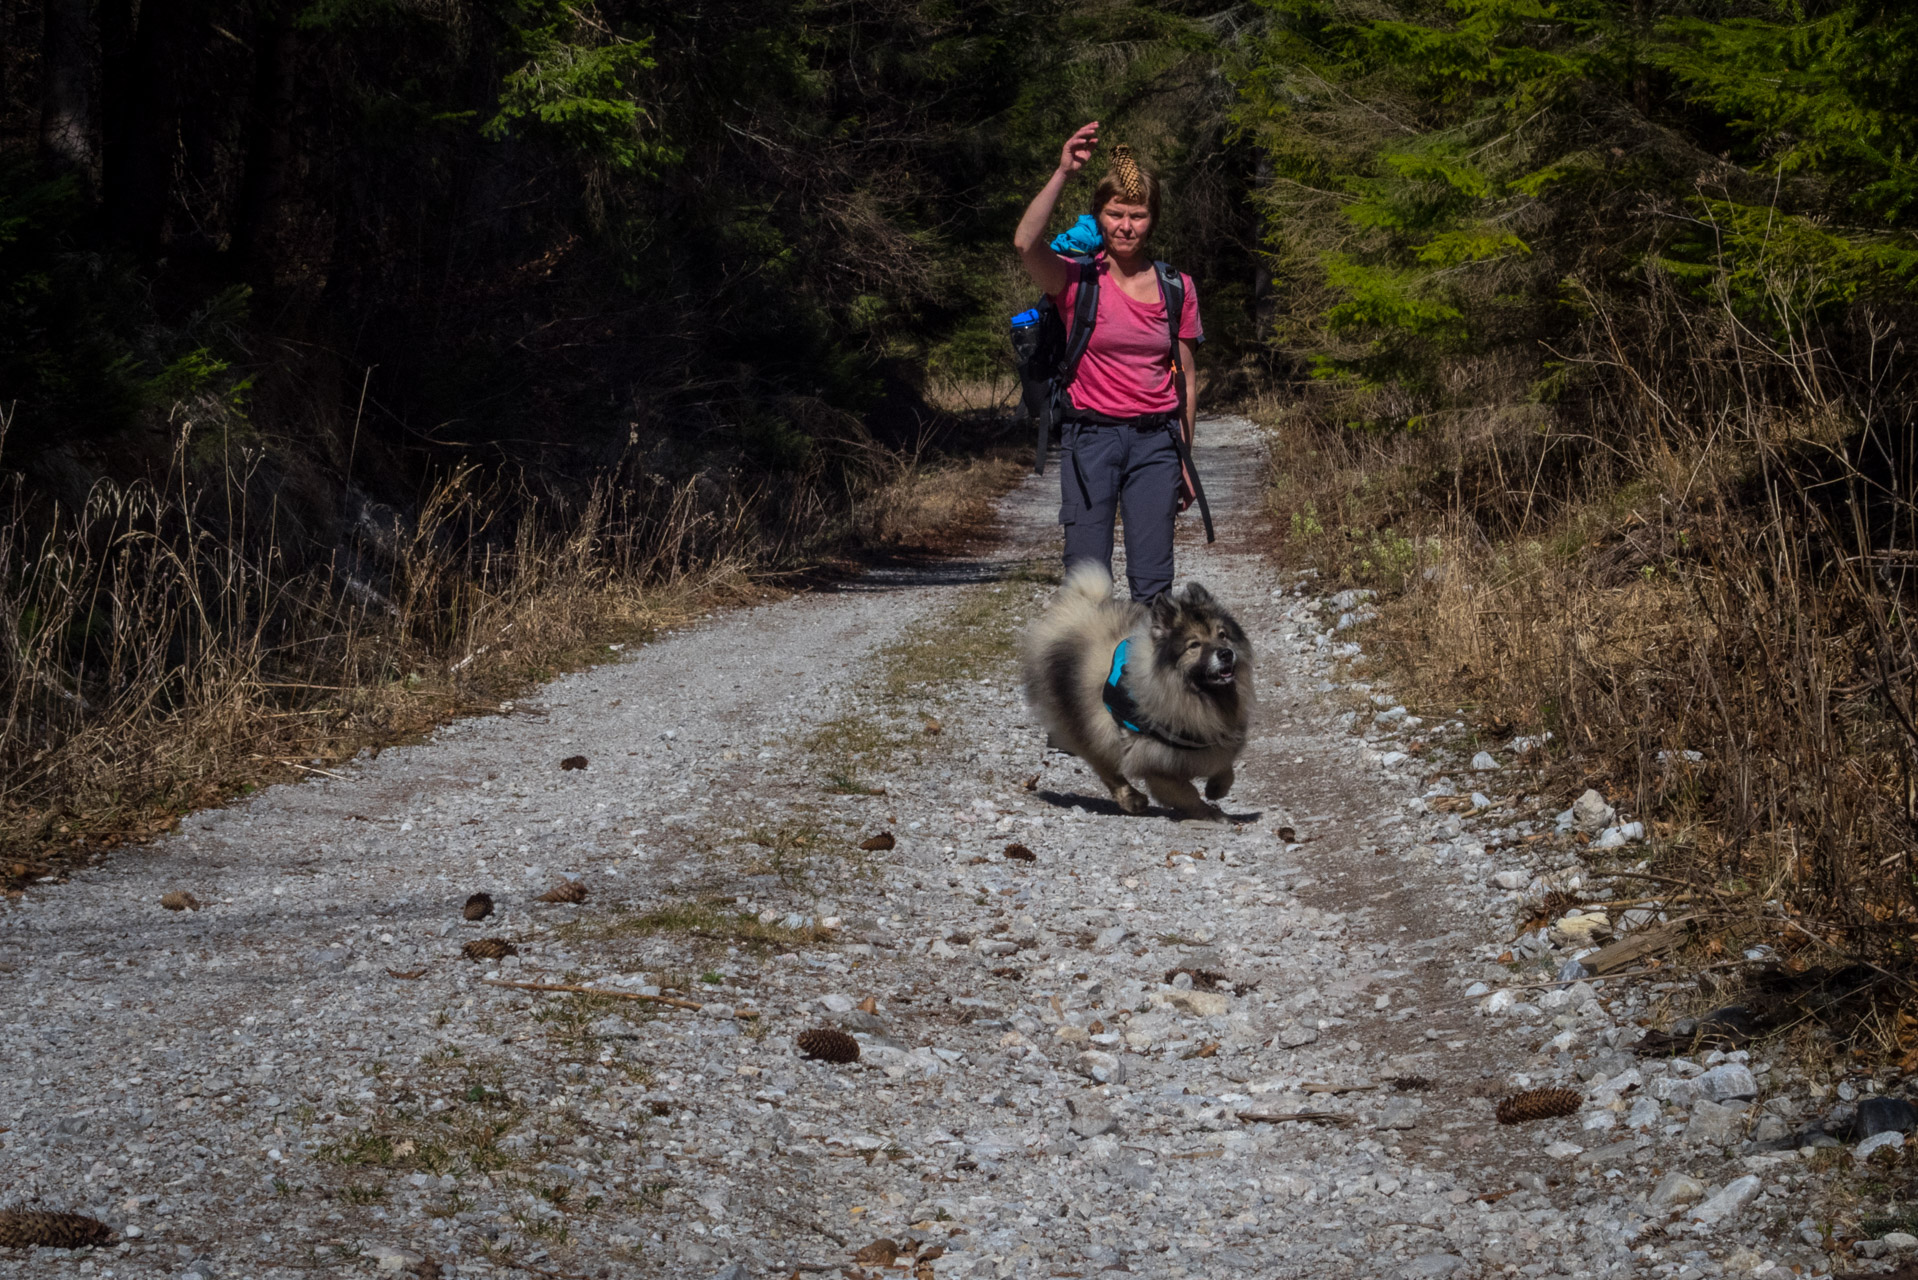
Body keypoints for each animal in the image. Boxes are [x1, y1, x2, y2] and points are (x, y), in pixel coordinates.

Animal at [1020, 568, 1258, 821]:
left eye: (1222, 635)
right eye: (1194, 645)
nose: (1226, 653)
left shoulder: (1215, 742)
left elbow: (1226, 769)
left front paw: (1216, 789)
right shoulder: (1155, 761)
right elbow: (1185, 792)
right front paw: (1209, 813)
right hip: (1087, 724)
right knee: (1104, 766)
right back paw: (1132, 799)